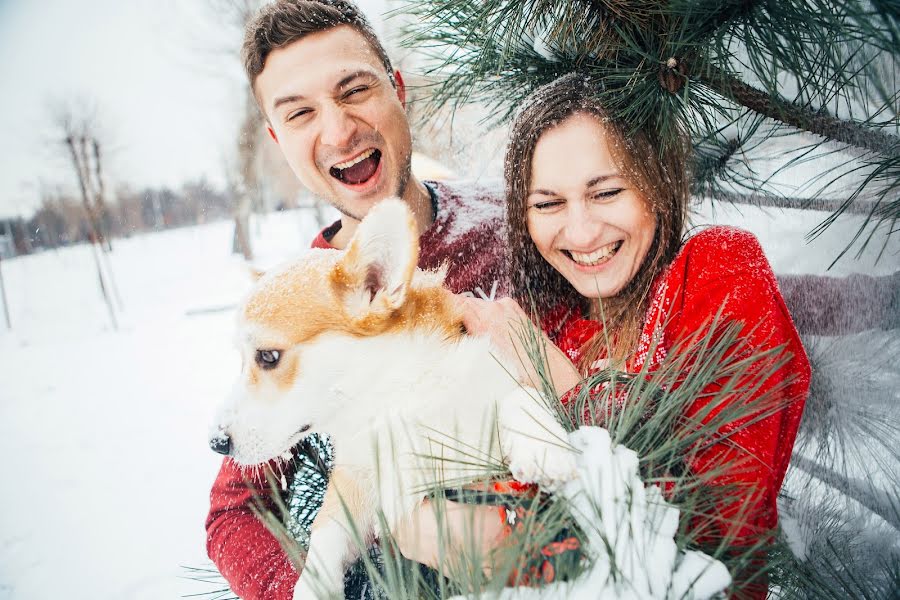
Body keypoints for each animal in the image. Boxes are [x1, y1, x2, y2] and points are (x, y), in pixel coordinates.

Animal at [211, 199, 576, 596]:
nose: (217, 443)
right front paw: (310, 587)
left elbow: (519, 397)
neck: (394, 399)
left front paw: (545, 449)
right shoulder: (356, 480)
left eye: (268, 356)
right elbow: (327, 532)